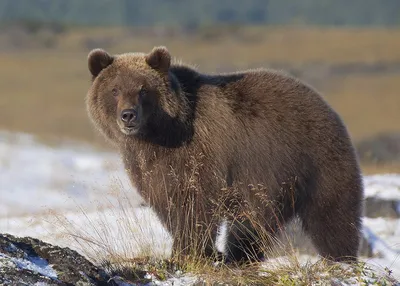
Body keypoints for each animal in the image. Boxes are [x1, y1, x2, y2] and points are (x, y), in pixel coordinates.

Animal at [86, 46, 364, 264]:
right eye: (114, 89)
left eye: (143, 89)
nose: (128, 115)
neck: (158, 135)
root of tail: (322, 102)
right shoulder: (150, 167)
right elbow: (167, 205)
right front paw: (197, 251)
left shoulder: (200, 155)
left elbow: (194, 206)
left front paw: (189, 252)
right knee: (254, 225)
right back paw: (240, 256)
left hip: (313, 160)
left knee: (332, 216)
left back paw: (340, 258)